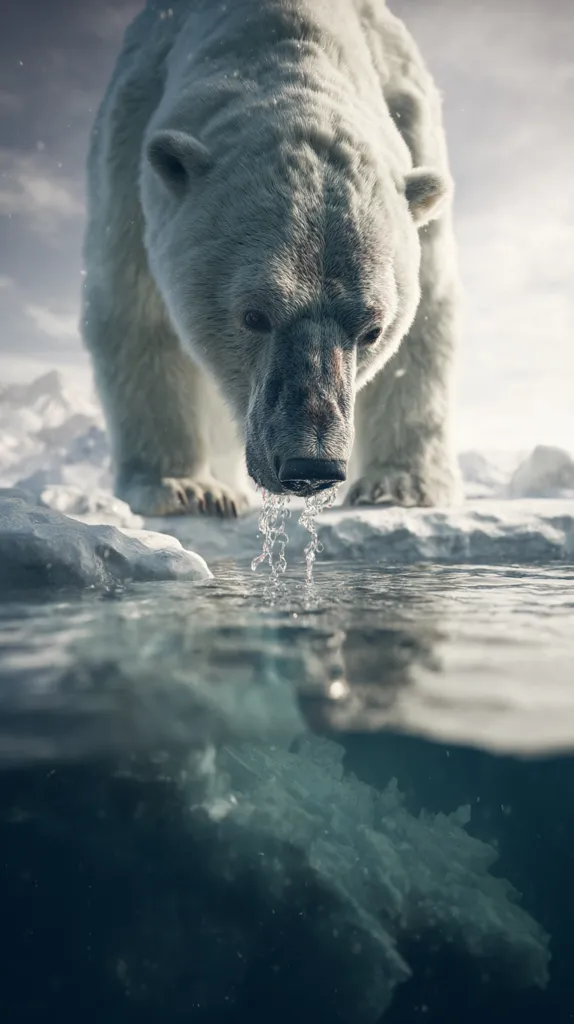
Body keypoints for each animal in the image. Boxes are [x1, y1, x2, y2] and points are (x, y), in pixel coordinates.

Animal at [82, 0, 462, 518]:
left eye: (373, 330)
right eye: (253, 316)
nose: (312, 465)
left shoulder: (412, 115)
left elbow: (426, 323)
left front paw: (399, 486)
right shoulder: (129, 144)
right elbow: (137, 314)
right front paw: (184, 488)